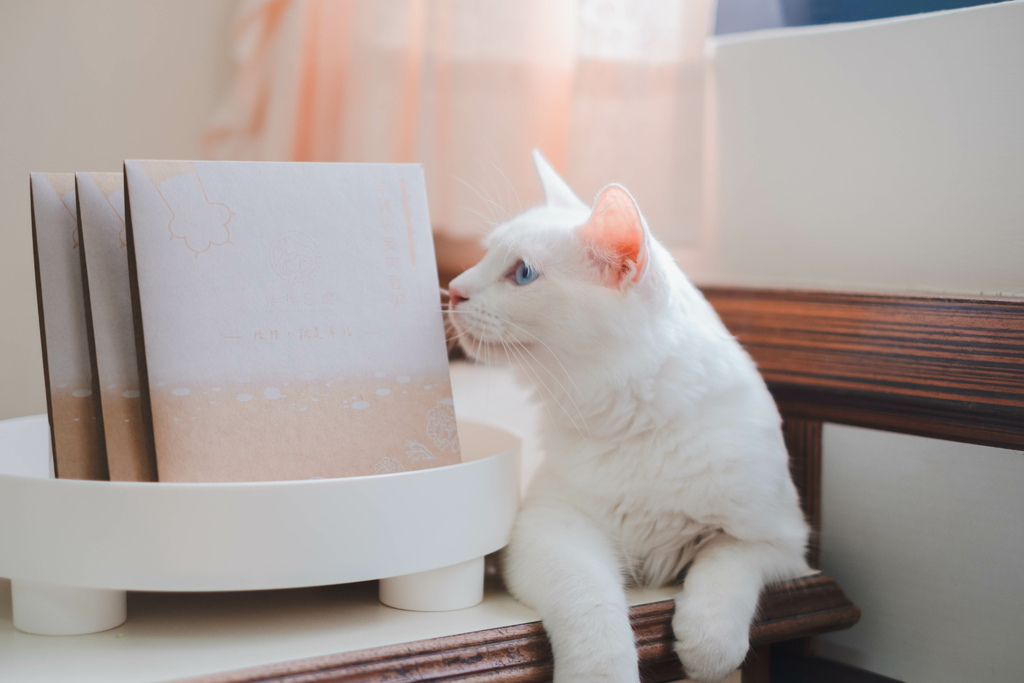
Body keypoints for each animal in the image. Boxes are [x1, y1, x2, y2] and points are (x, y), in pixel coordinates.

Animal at [448, 150, 806, 683]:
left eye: (523, 274)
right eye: (485, 256)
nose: (453, 290)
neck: (636, 420)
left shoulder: (778, 540)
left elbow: (725, 573)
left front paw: (706, 649)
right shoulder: (550, 528)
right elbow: (593, 604)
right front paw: (604, 671)